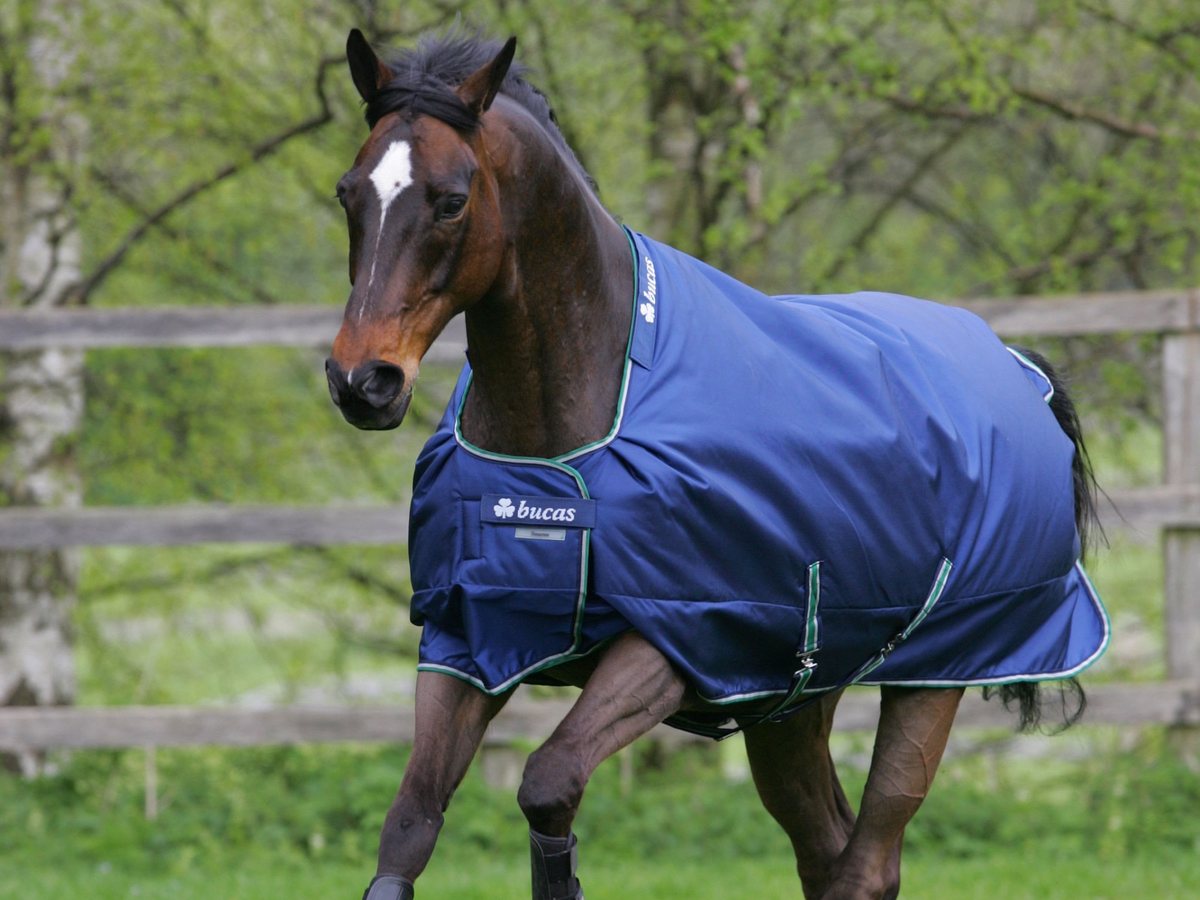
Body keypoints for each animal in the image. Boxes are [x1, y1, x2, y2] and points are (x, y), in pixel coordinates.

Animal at [323, 29, 1109, 900]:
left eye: (452, 200)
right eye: (349, 192)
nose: (362, 381)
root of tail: (1017, 366)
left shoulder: (678, 640)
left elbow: (548, 784)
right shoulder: (466, 639)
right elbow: (410, 824)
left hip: (935, 676)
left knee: (866, 861)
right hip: (795, 700)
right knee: (827, 850)